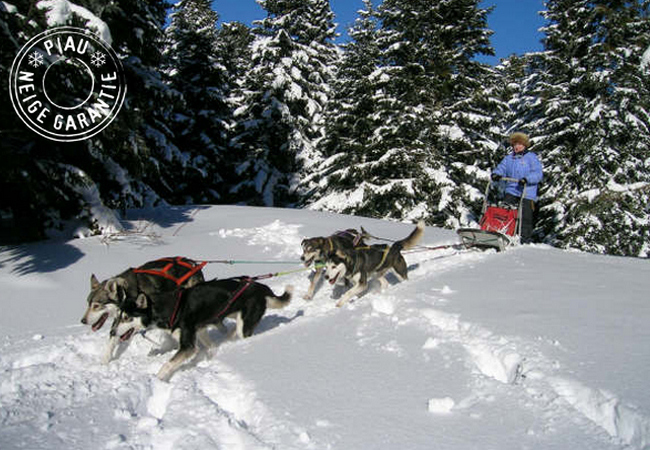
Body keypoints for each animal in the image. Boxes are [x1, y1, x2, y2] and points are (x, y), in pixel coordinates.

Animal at [113, 278, 292, 380]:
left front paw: (159, 378)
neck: (170, 308)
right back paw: (228, 337)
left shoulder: (188, 345)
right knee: (233, 330)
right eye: (118, 316)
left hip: (244, 323)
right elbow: (210, 346)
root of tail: (261, 287)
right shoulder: (199, 331)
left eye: (126, 318)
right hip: (235, 315)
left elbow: (168, 364)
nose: (113, 332)